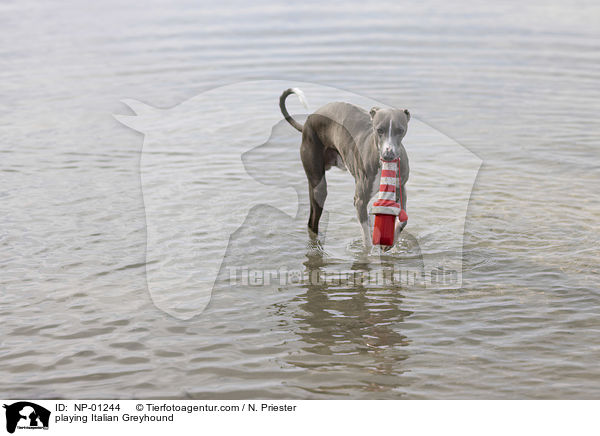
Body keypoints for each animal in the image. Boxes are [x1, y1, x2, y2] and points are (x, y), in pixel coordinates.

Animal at [280, 87, 410, 249]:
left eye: (400, 130)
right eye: (379, 130)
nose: (388, 154)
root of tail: (306, 123)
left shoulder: (401, 189)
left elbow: (403, 220)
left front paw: (389, 243)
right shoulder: (359, 200)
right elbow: (367, 243)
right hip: (318, 184)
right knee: (312, 221)